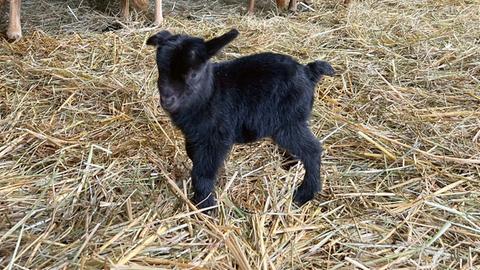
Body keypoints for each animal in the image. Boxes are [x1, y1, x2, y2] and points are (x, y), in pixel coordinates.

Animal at [146, 29, 334, 209]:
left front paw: (205, 204)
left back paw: (304, 194)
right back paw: (291, 164)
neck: (210, 95)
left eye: (193, 74)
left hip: (289, 123)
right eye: (160, 68)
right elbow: (193, 157)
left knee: (312, 150)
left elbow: (202, 171)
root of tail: (308, 72)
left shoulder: (216, 138)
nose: (167, 100)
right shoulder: (194, 137)